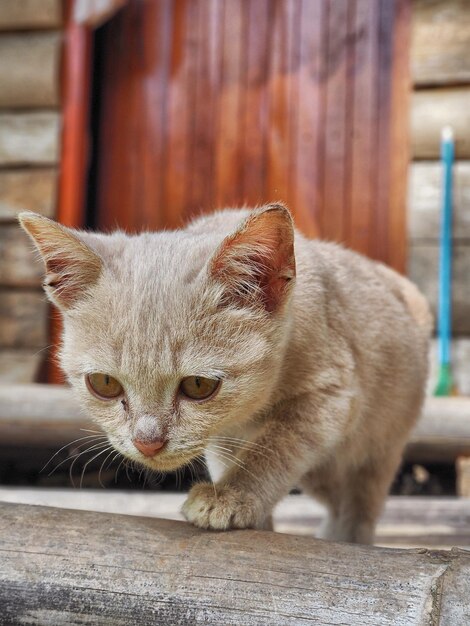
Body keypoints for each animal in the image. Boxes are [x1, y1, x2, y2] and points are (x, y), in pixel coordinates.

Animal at [18, 205, 432, 540]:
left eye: (199, 386)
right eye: (103, 384)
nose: (147, 442)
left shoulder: (331, 396)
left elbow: (276, 446)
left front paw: (233, 495)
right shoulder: (223, 435)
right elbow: (229, 456)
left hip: (377, 447)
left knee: (359, 507)